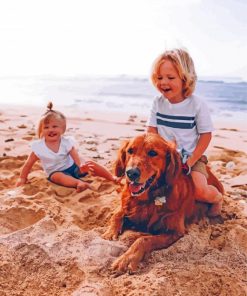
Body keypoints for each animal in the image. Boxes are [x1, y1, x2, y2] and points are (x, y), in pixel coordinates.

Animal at [102, 133, 224, 274]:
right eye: (130, 151)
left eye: (152, 153)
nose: (131, 173)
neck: (147, 200)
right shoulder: (127, 206)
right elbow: (117, 214)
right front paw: (109, 233)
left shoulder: (176, 231)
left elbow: (143, 239)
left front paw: (127, 259)